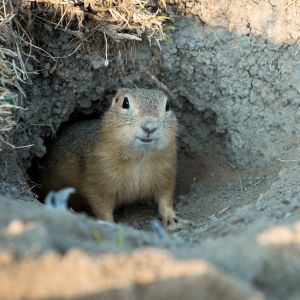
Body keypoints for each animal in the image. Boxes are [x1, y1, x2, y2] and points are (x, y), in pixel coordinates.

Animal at [37, 88, 178, 227]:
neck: (140, 156)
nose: (149, 127)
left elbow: (165, 196)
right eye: (125, 103)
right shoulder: (99, 181)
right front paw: (110, 224)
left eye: (167, 106)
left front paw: (171, 218)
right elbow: (102, 207)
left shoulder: (166, 173)